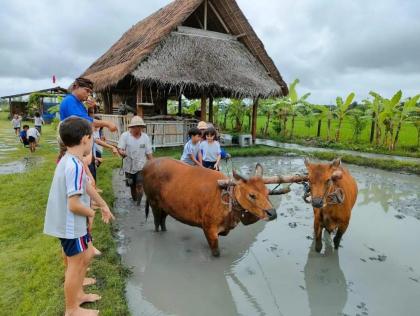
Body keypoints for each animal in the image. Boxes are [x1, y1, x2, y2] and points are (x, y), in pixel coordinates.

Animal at [143, 158, 278, 256]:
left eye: (267, 192)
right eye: (252, 195)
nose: (273, 213)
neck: (225, 198)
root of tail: (148, 164)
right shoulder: (209, 228)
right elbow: (216, 253)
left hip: (166, 206)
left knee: (162, 221)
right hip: (153, 203)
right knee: (156, 222)